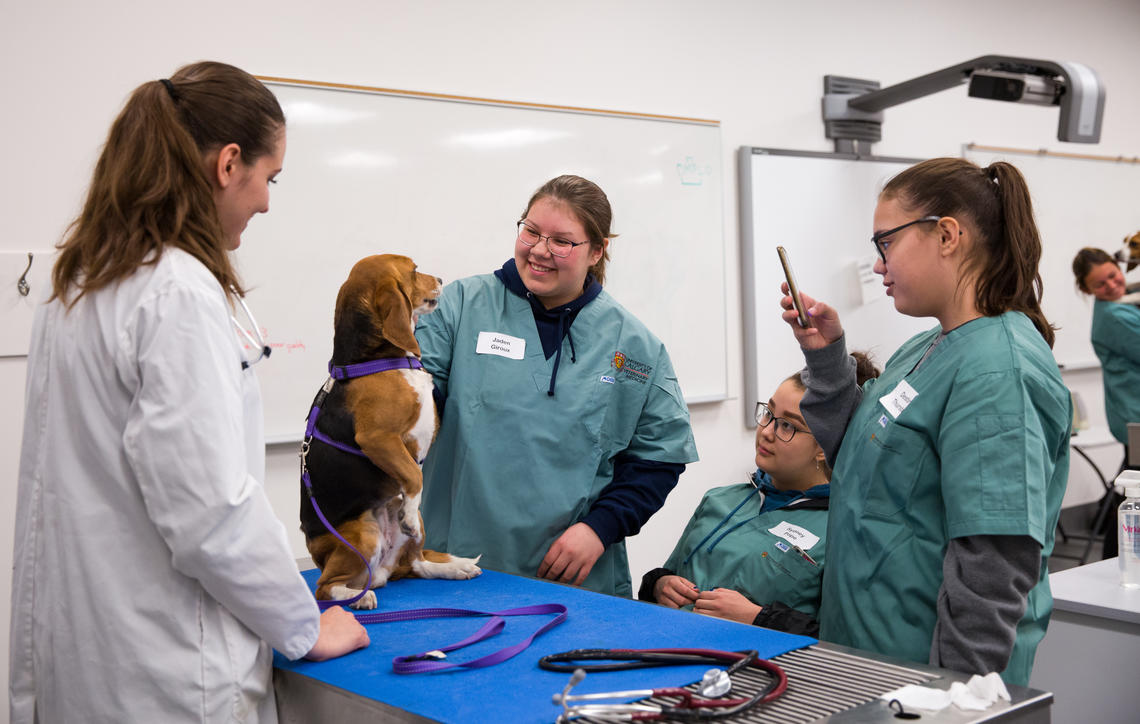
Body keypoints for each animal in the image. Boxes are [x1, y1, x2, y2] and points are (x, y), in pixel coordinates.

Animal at [300, 251, 478, 611]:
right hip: (363, 533)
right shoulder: (379, 439)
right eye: (414, 271)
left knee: (418, 563)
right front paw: (407, 511)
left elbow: (415, 477)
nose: (440, 279)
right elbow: (414, 475)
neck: (369, 358)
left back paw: (456, 566)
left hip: (413, 530)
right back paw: (357, 596)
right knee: (325, 589)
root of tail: (382, 571)